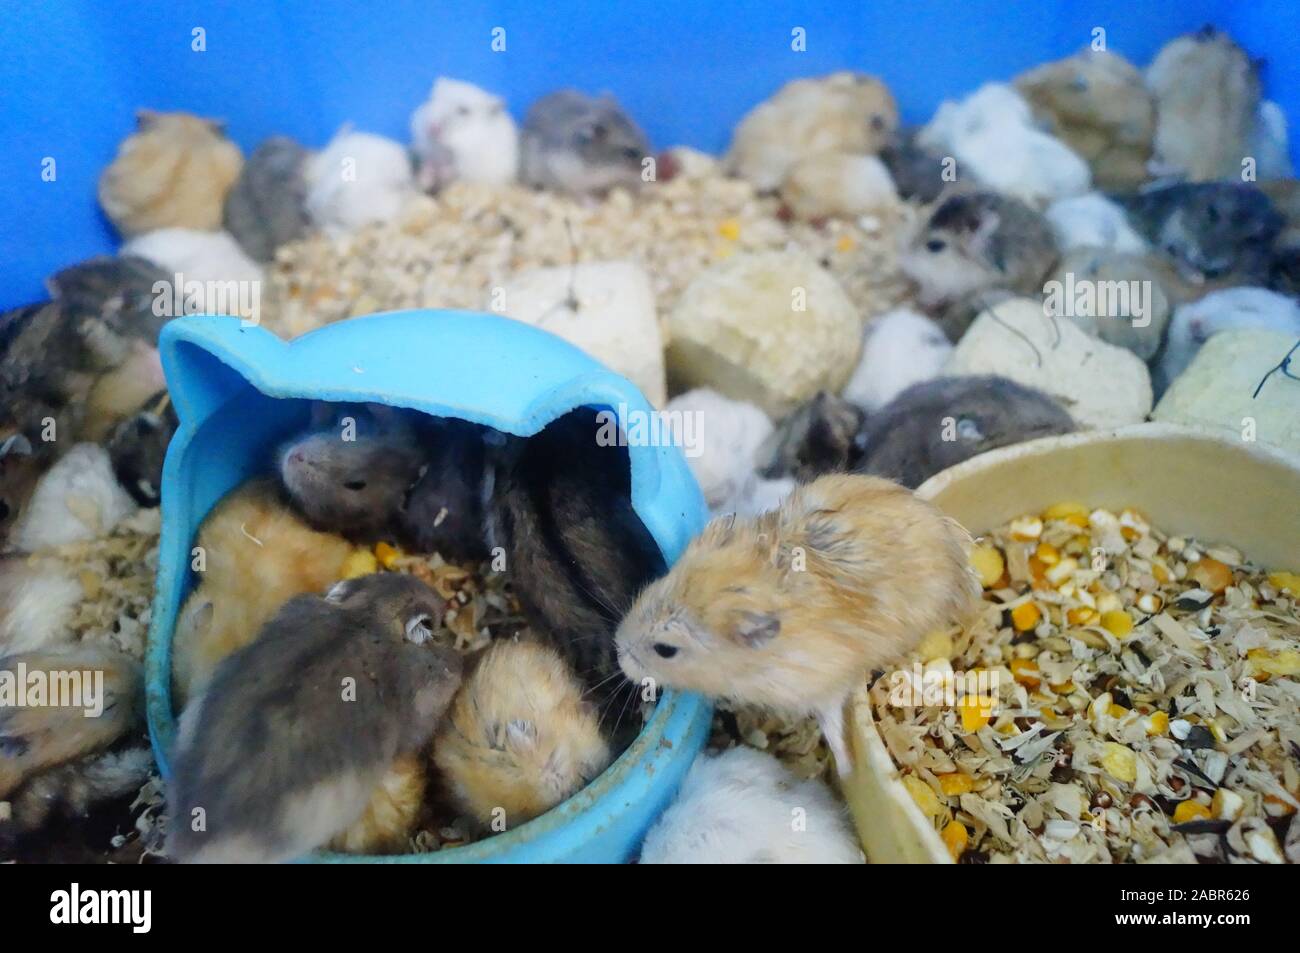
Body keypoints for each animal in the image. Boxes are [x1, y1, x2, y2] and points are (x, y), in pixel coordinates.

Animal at [615, 473, 978, 773]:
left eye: (665, 650)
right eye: (650, 590)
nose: (618, 654)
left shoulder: (824, 684)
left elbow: (831, 724)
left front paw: (846, 770)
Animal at [1116, 182, 1282, 285]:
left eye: (1252, 239)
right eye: (1212, 213)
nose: (1206, 261)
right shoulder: (1172, 237)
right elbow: (1177, 255)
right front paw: (1196, 278)